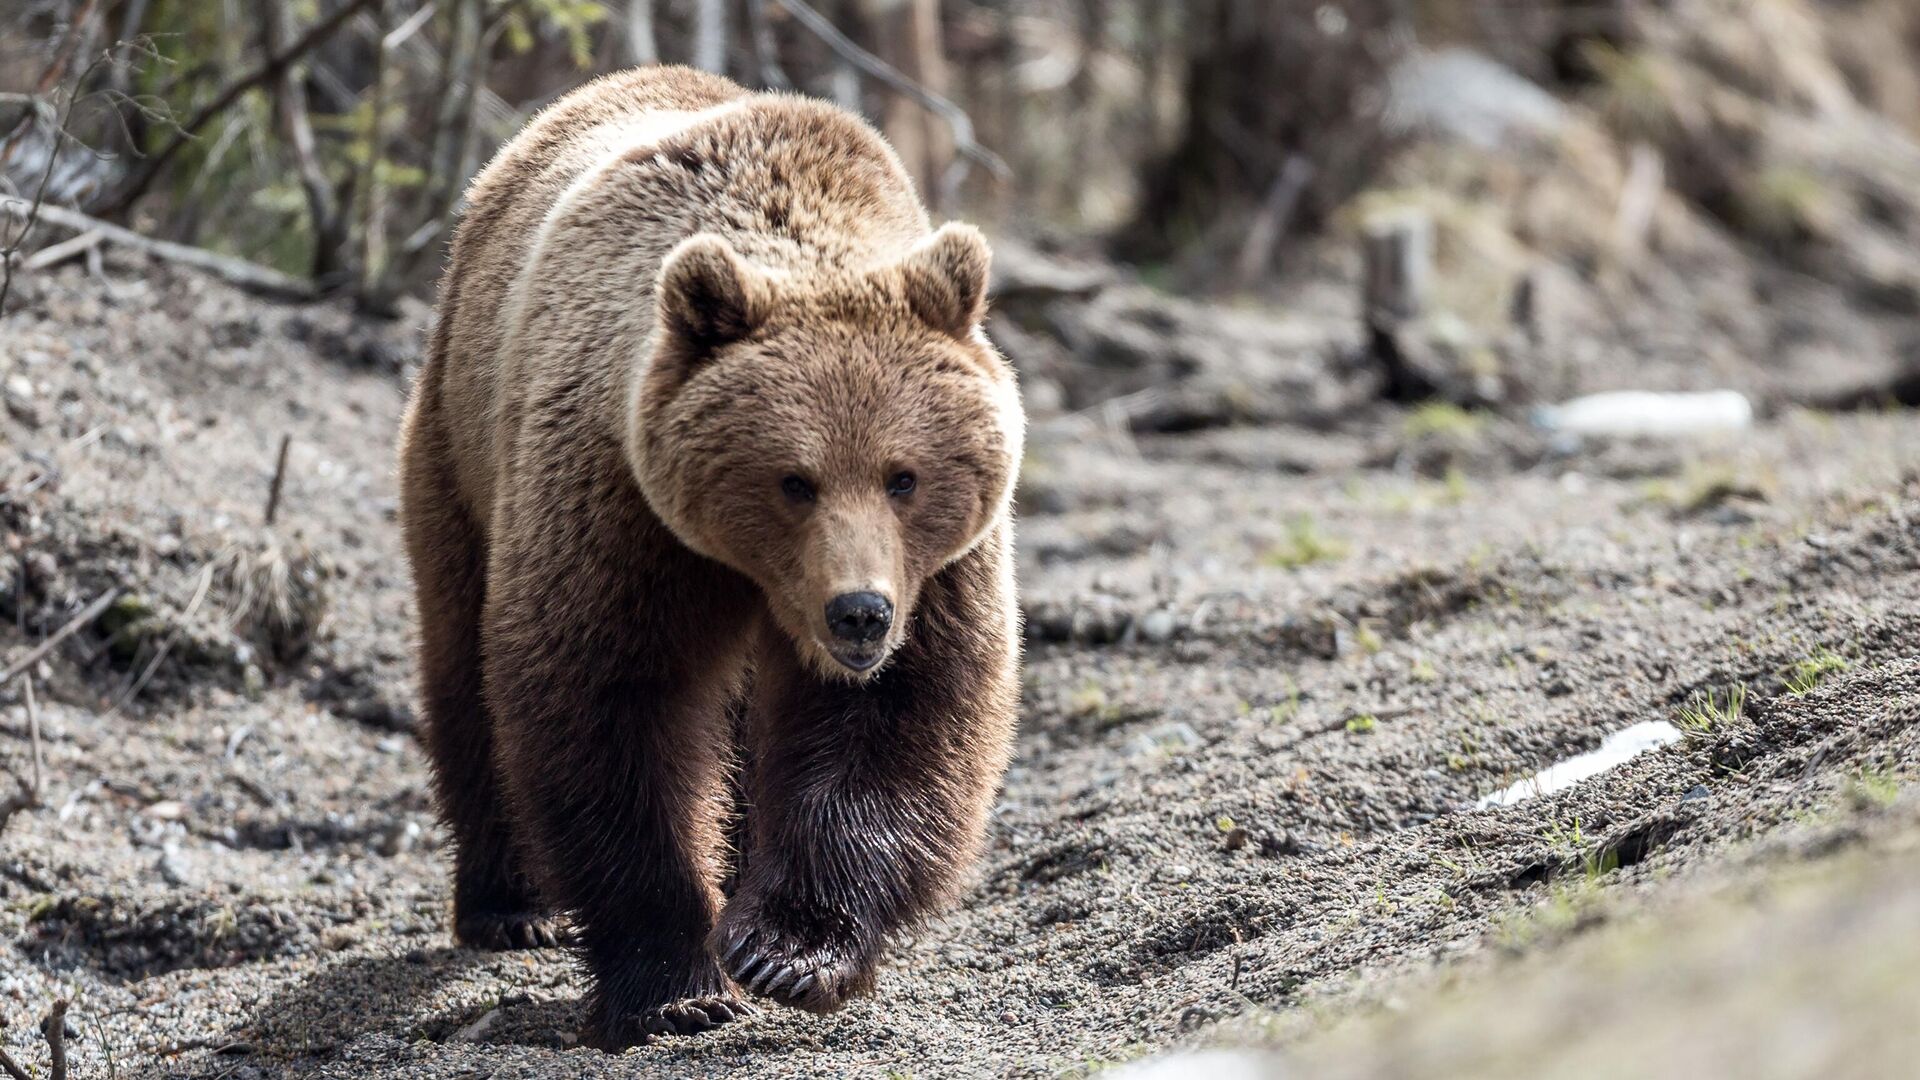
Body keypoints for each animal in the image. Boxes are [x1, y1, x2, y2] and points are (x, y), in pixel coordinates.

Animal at [389, 65, 1021, 1045]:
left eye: (903, 476)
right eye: (794, 479)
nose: (859, 613)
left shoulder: (941, 572)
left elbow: (900, 715)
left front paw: (786, 949)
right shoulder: (619, 508)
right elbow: (610, 705)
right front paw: (675, 983)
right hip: (459, 452)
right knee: (463, 665)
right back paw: (510, 904)